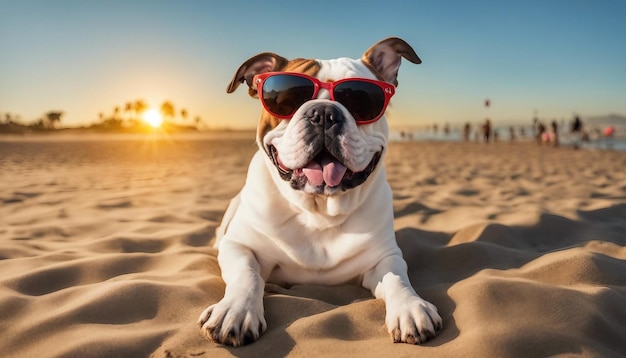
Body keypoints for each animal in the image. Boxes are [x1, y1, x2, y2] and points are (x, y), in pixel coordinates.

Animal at [197, 37, 442, 346]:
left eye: (360, 99)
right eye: (287, 98)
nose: (325, 112)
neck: (318, 210)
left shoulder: (385, 256)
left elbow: (397, 278)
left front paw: (410, 307)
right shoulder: (240, 246)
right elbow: (246, 274)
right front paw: (235, 310)